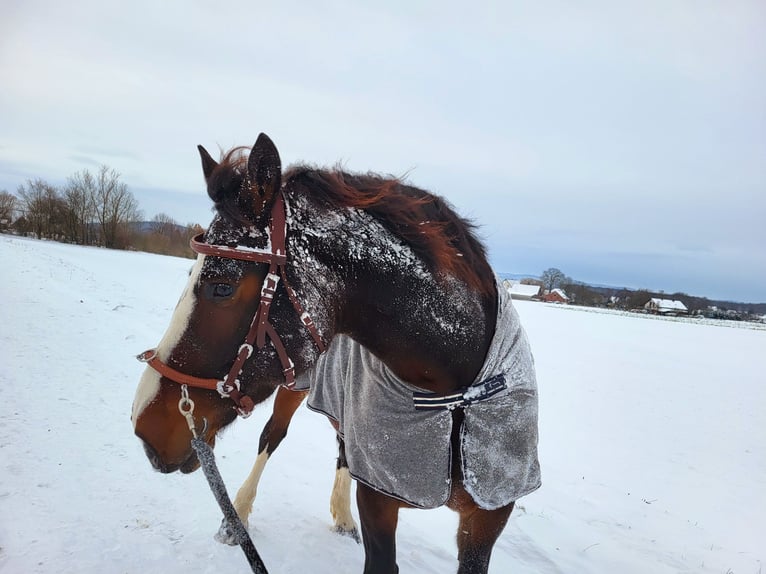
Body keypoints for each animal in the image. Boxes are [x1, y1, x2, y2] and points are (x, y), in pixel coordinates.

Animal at [132, 135, 540, 574]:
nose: (144, 426)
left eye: (221, 287)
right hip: (295, 389)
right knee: (271, 437)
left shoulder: (487, 518)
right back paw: (236, 515)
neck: (456, 394)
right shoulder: (379, 501)